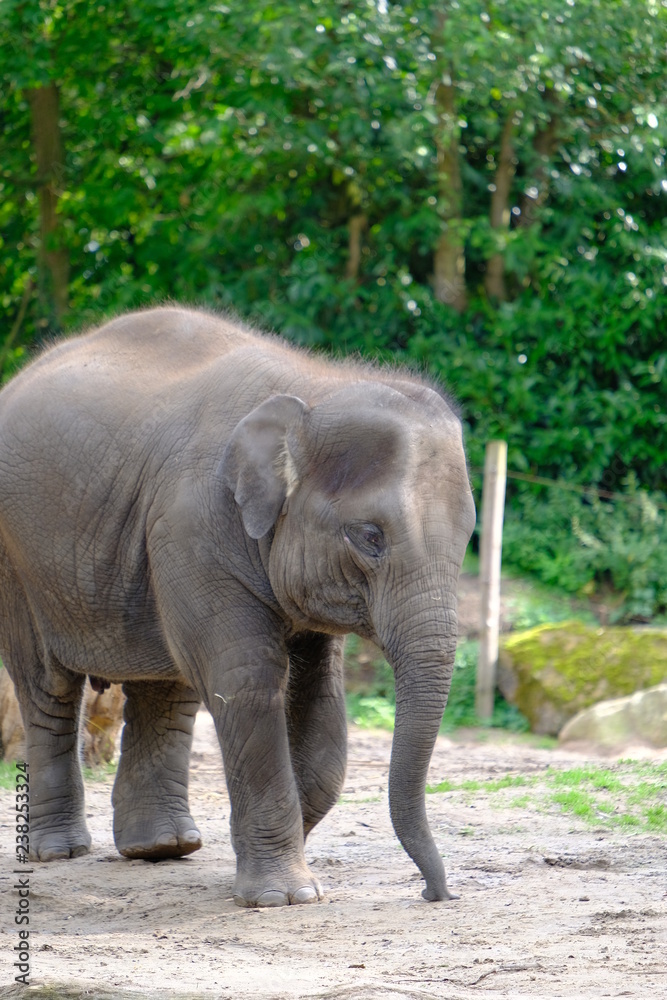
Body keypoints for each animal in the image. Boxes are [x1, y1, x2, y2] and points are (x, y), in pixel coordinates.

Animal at [0, 304, 474, 908]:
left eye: (468, 537)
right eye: (370, 537)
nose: (436, 894)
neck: (316, 385)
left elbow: (320, 697)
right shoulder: (193, 525)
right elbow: (247, 678)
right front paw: (285, 897)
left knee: (164, 685)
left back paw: (162, 849)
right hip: (17, 561)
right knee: (48, 685)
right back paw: (60, 852)